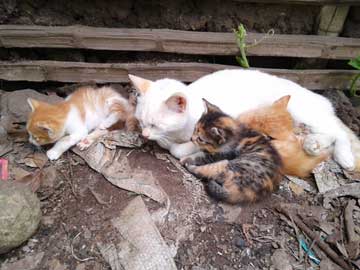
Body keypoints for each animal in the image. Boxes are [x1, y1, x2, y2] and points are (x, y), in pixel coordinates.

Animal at [129, 69, 360, 171]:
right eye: (141, 122)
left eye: (155, 124)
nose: (144, 134)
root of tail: (322, 98)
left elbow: (180, 148)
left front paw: (177, 146)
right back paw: (314, 143)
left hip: (303, 111)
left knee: (338, 132)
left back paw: (344, 157)